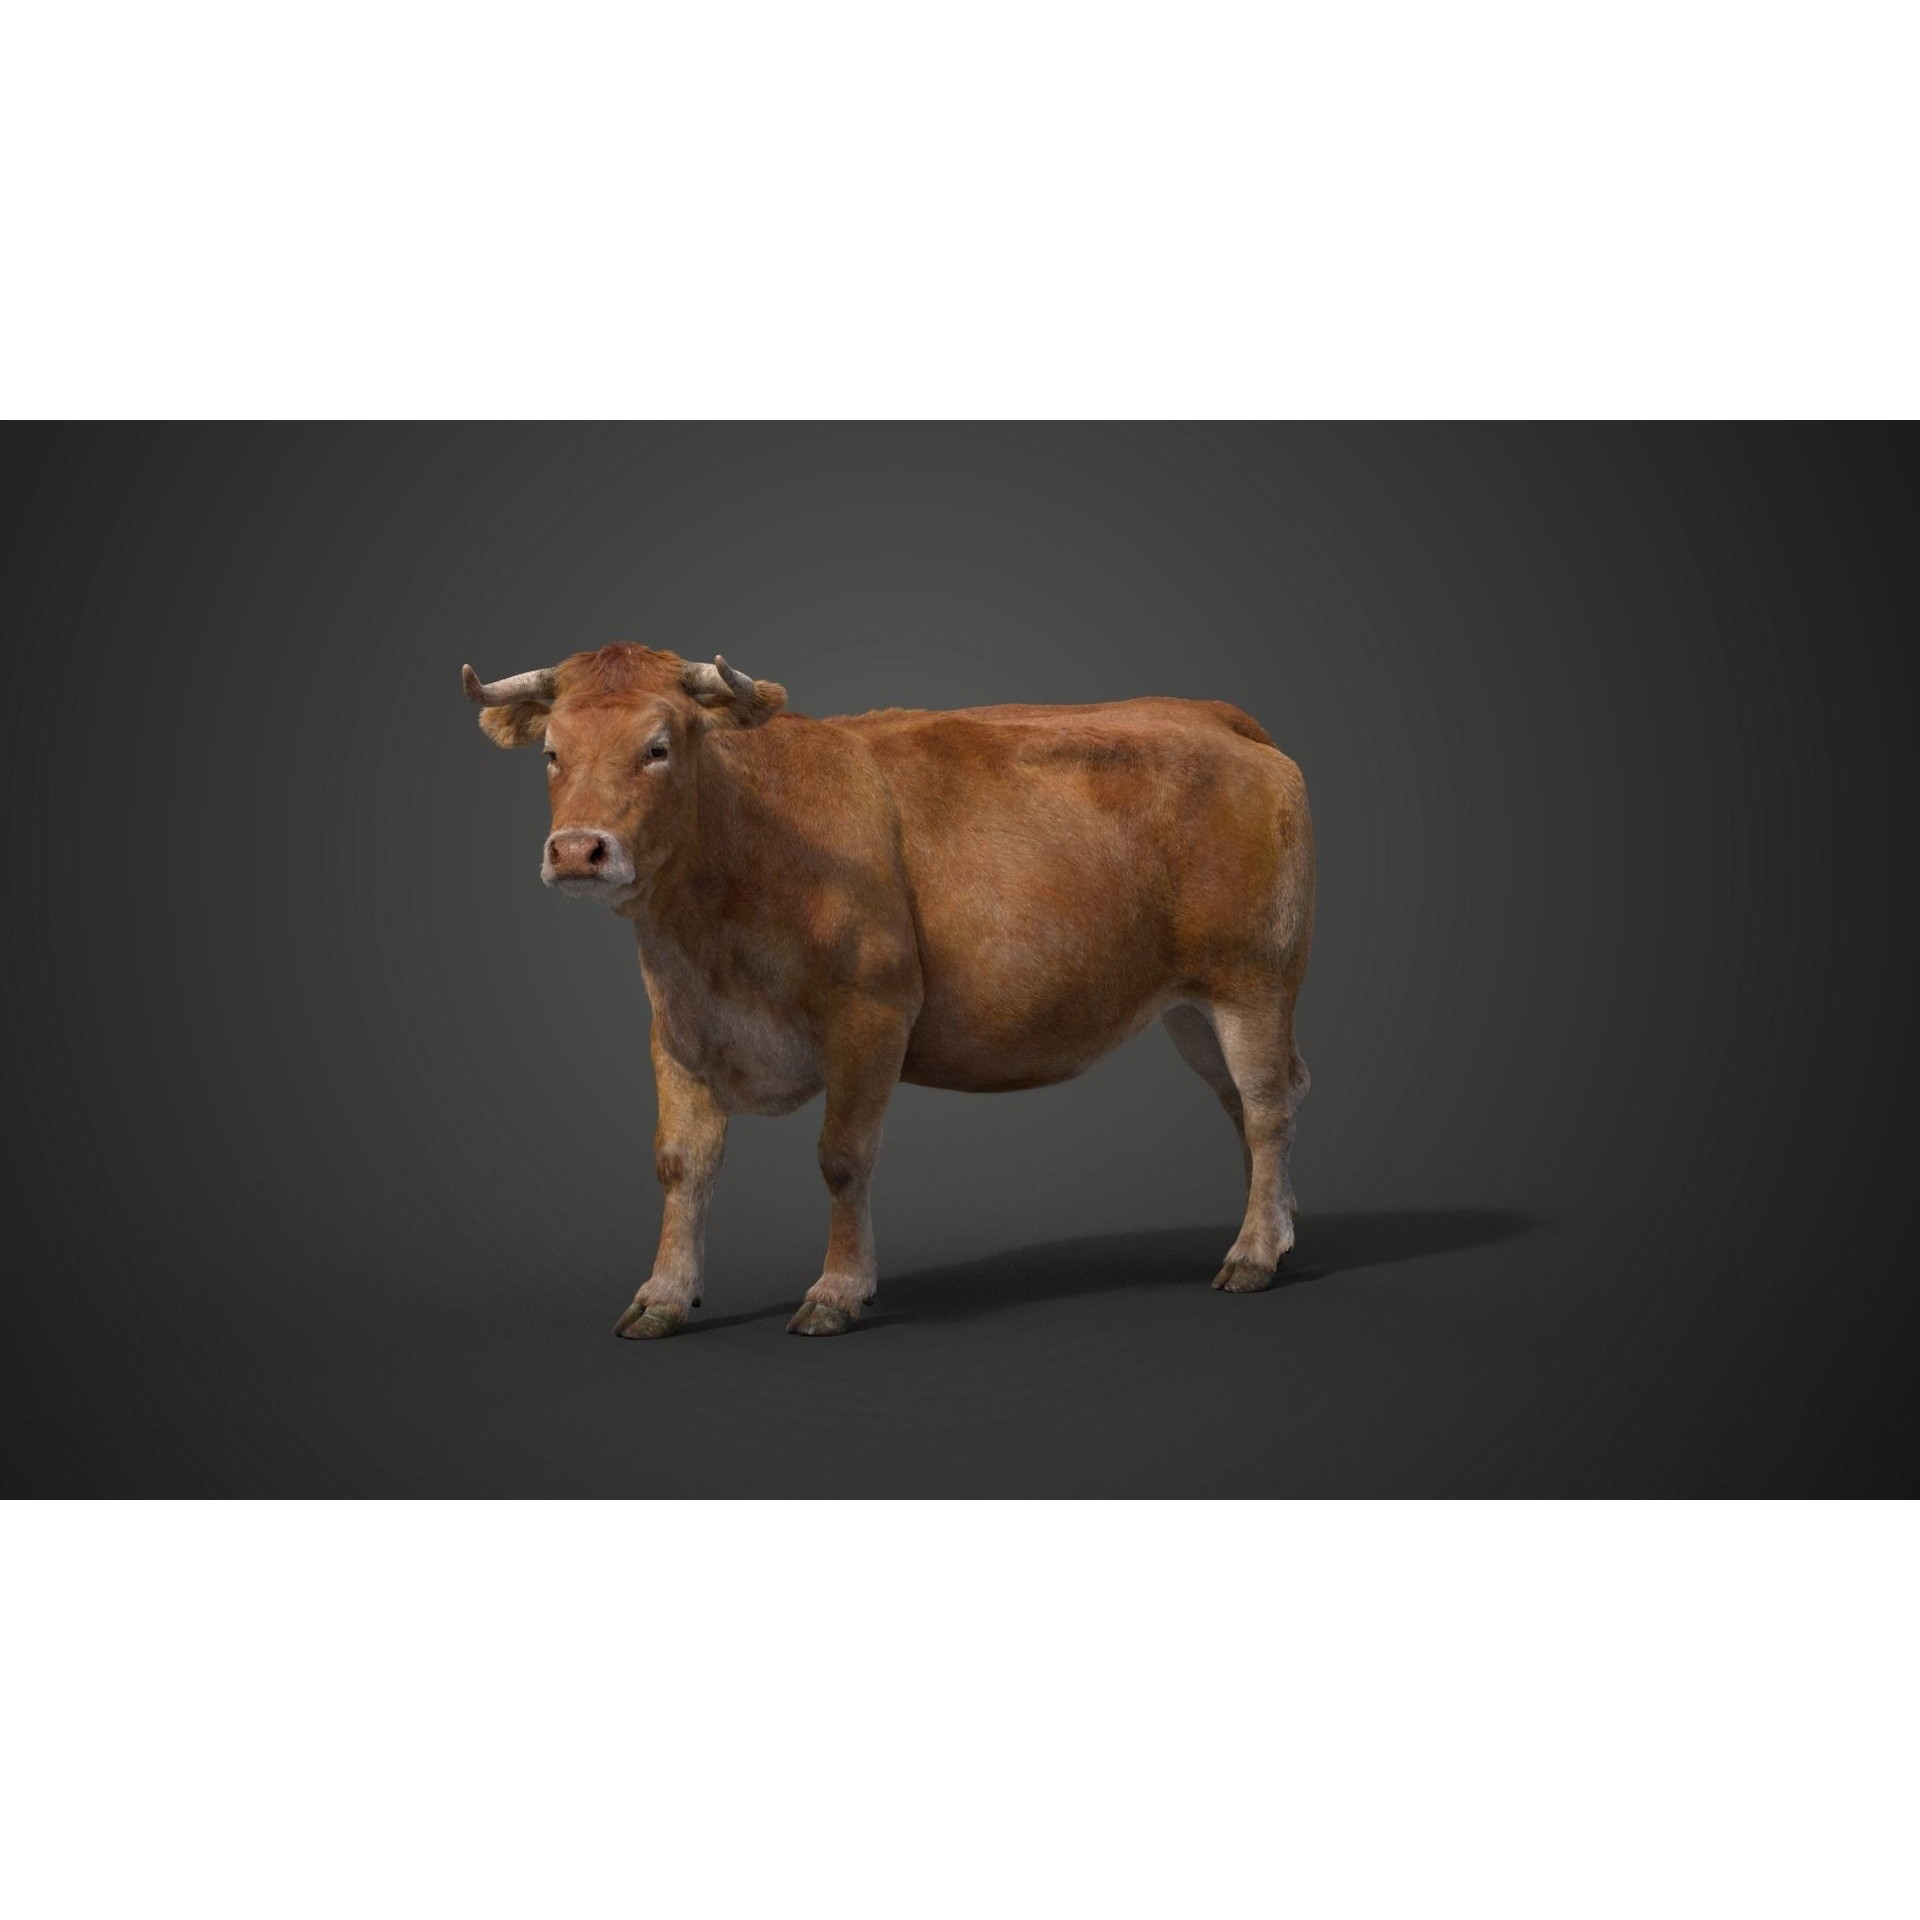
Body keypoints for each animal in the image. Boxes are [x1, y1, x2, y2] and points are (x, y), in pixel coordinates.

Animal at [463, 645, 1314, 1337]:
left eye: (658, 748)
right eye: (551, 752)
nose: (578, 850)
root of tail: (1214, 717)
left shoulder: (871, 1011)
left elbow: (843, 1156)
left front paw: (837, 1291)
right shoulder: (679, 1027)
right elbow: (680, 1163)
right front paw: (663, 1296)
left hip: (1253, 977)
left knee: (1268, 1103)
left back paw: (1251, 1255)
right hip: (1191, 1006)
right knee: (1244, 1103)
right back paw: (1276, 1233)